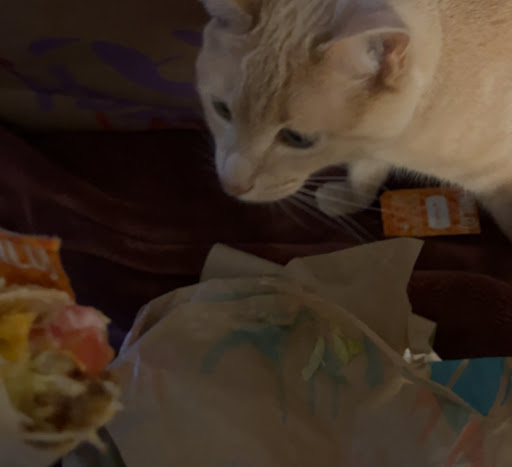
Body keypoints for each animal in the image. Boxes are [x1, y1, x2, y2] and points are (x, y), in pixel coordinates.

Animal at [196, 0, 512, 239]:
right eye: (221, 110)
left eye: (298, 139)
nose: (231, 186)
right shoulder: (371, 148)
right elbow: (364, 174)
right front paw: (349, 198)